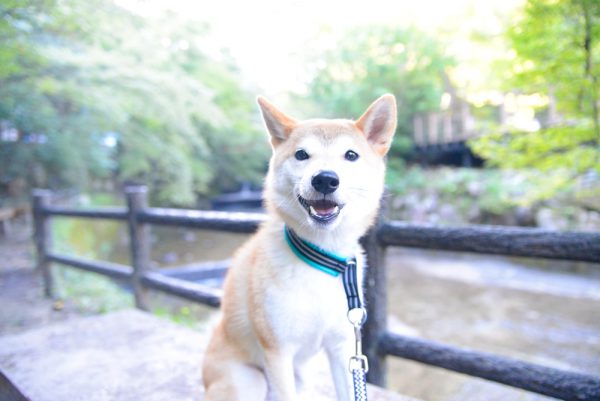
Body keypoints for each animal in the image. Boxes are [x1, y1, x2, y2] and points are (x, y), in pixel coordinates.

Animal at [204, 94, 396, 400]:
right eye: (302, 155)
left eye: (351, 155)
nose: (325, 179)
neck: (321, 258)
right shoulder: (278, 352)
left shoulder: (342, 346)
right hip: (250, 381)